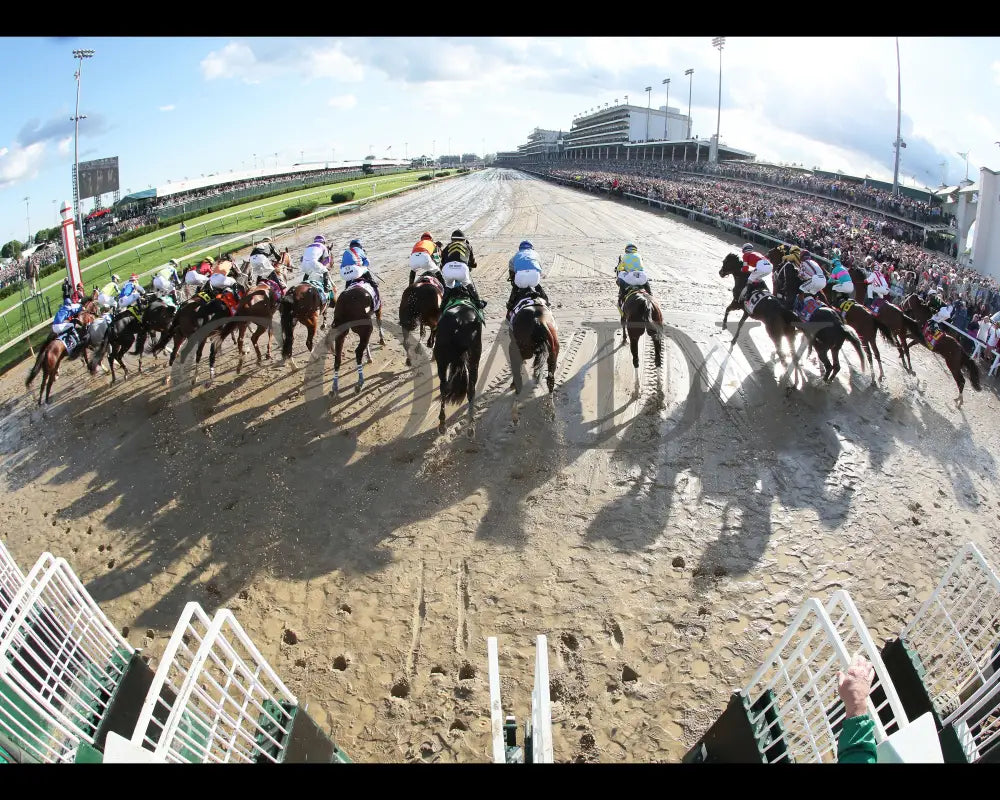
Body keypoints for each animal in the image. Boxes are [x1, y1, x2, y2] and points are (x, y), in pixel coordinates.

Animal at [434, 296, 484, 438]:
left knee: (444, 387)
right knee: (470, 389)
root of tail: (459, 322)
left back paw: (443, 424)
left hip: (442, 360)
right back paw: (469, 425)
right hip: (473, 357)